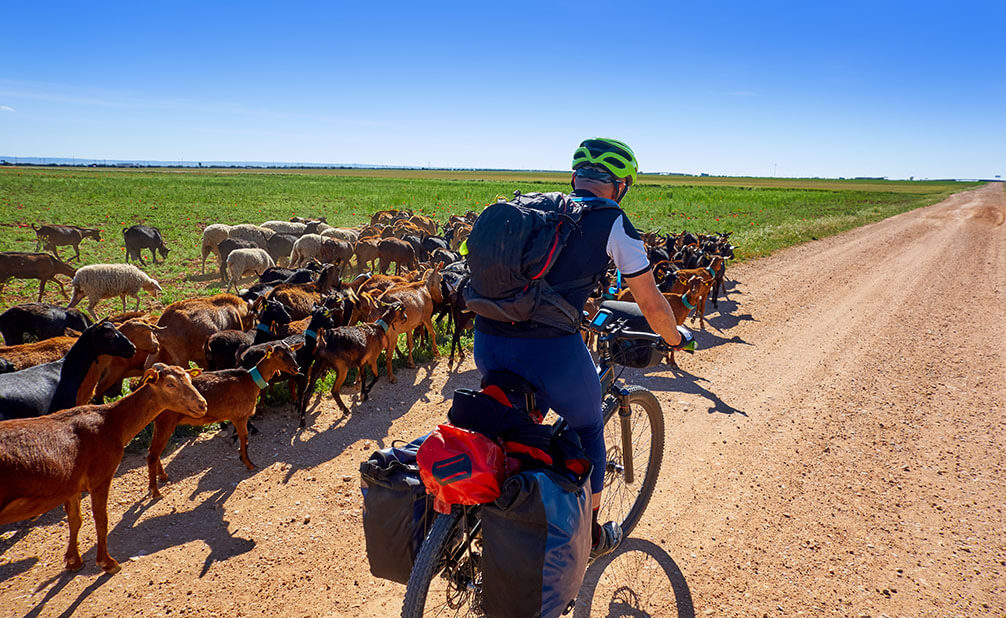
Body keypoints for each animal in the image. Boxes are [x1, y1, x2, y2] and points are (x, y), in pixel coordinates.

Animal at [0, 362, 206, 575]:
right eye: (170, 384)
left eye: (190, 379)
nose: (202, 405)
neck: (113, 423)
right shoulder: (100, 477)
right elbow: (101, 521)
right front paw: (107, 562)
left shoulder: (72, 486)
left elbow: (76, 520)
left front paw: (73, 560)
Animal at [145, 344, 299, 499]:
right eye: (280, 356)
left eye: (291, 352)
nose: (296, 368)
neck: (250, 381)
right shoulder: (240, 416)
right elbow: (245, 439)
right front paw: (249, 463)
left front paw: (242, 457)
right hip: (166, 421)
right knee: (153, 454)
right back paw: (156, 491)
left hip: (160, 422)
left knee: (153, 450)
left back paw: (163, 476)